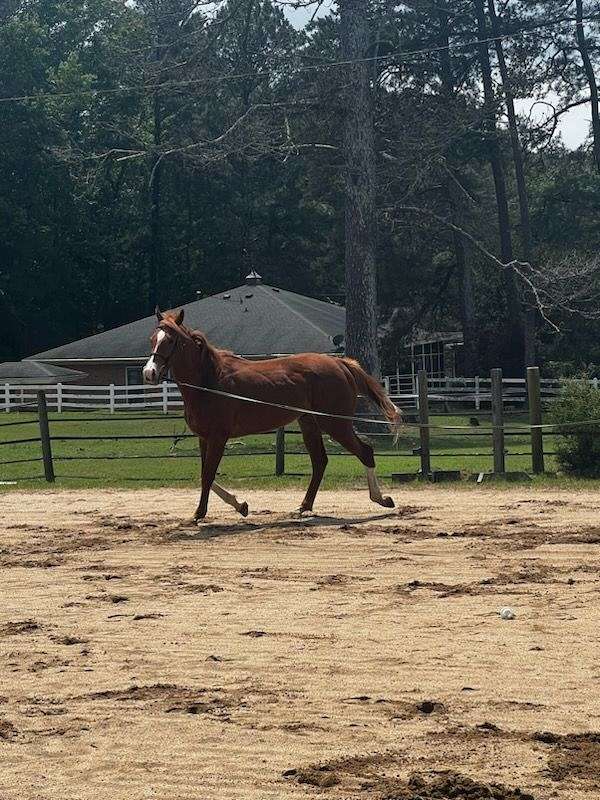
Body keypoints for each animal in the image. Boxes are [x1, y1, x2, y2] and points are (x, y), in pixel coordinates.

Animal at [143, 306, 400, 520]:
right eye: (153, 339)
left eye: (171, 340)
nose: (149, 373)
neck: (209, 381)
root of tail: (340, 364)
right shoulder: (204, 437)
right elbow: (207, 475)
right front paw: (240, 505)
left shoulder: (218, 437)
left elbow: (208, 475)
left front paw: (200, 513)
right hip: (309, 423)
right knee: (320, 462)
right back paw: (305, 506)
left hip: (335, 424)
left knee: (365, 452)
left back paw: (382, 499)